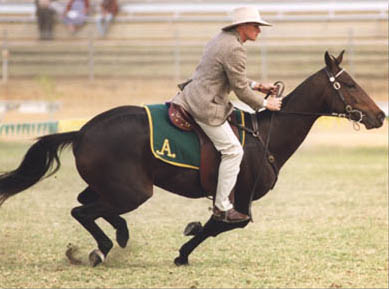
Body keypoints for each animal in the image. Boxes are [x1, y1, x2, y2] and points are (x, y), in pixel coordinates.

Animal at [0, 50, 384, 266]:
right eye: (350, 84)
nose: (380, 115)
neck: (266, 134)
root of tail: (81, 131)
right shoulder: (238, 198)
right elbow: (225, 223)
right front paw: (186, 246)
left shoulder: (235, 199)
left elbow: (219, 223)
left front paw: (189, 239)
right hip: (134, 192)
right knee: (83, 210)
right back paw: (107, 245)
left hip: (111, 187)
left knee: (87, 204)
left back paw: (117, 237)